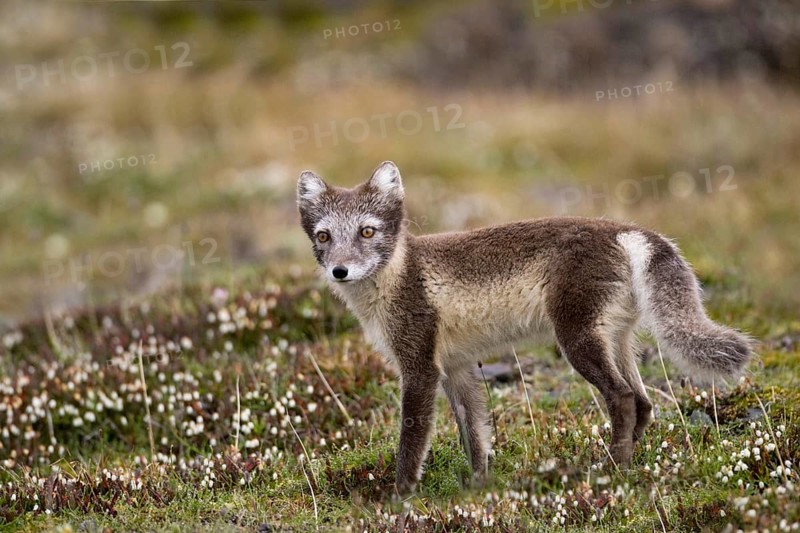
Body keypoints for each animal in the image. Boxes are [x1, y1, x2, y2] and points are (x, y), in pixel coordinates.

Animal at [296, 161, 753, 494]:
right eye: (323, 236)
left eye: (366, 231)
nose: (339, 271)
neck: (396, 276)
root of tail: (627, 231)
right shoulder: (456, 367)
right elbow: (475, 434)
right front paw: (478, 488)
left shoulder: (420, 369)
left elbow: (412, 444)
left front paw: (399, 497)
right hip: (615, 339)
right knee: (643, 402)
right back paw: (628, 460)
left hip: (577, 340)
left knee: (622, 399)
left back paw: (611, 469)